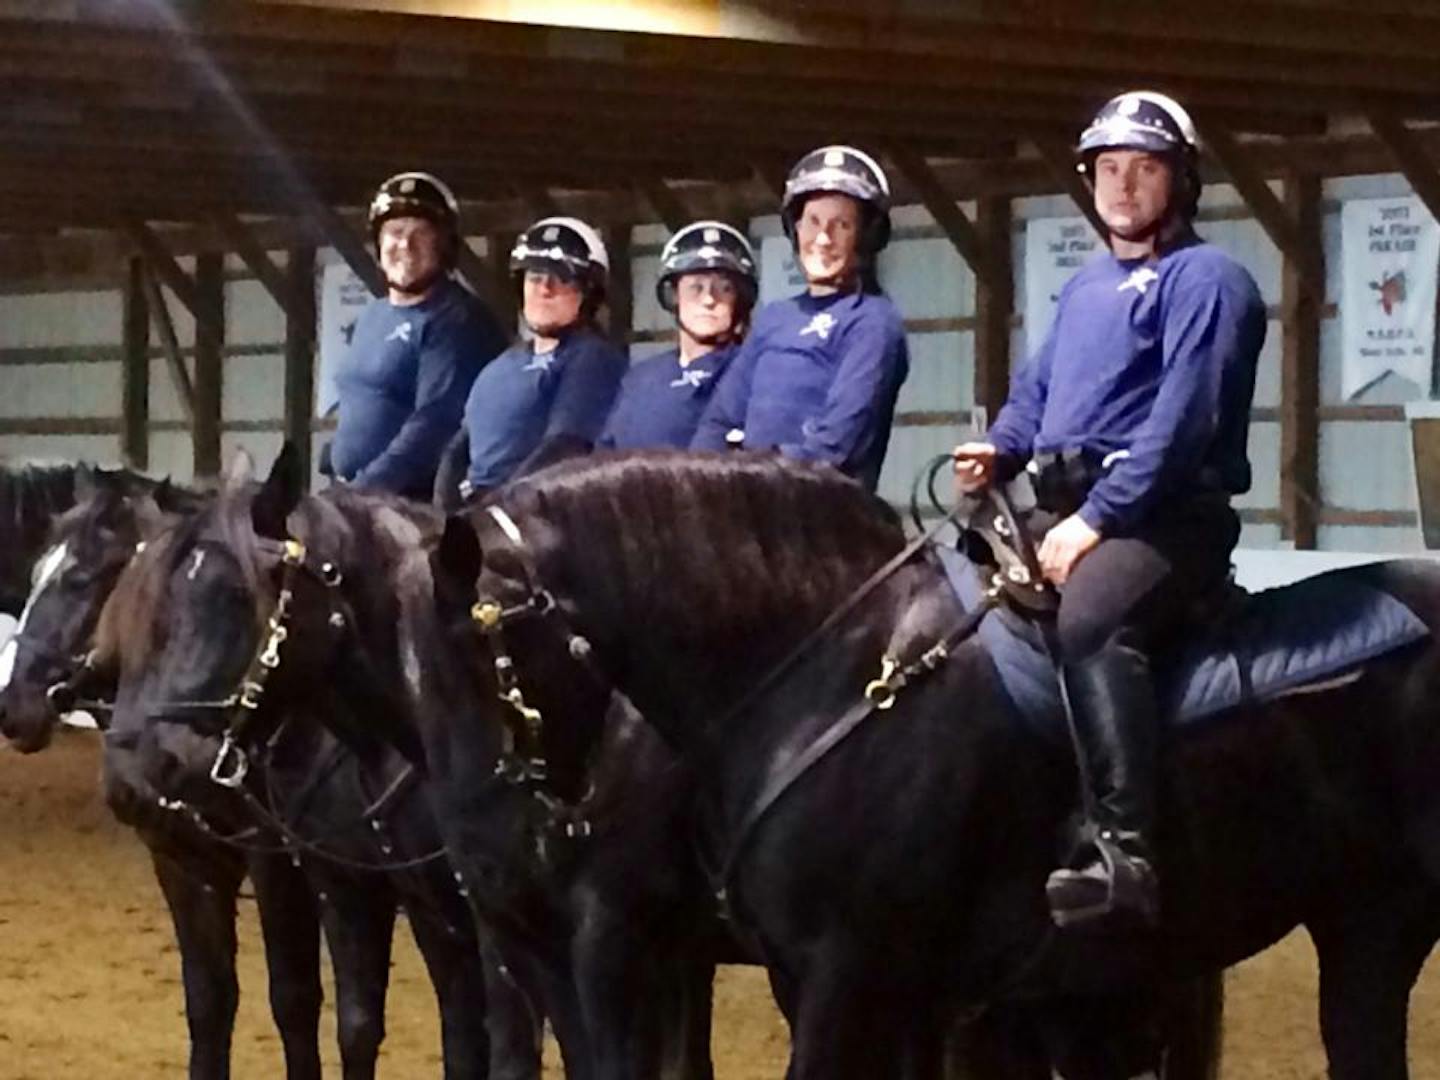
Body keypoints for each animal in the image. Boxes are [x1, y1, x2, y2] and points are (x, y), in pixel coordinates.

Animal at [420, 449, 1440, 1080]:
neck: (835, 674)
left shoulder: (844, 977)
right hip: (1366, 927)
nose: (483, 851)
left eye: (482, 655)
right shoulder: (873, 986)